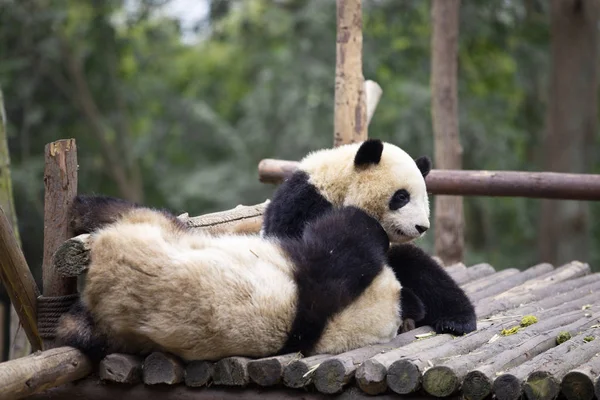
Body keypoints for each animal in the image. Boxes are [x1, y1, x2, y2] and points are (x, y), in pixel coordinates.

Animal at [264, 139, 476, 336]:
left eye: (424, 199)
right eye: (402, 196)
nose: (421, 227)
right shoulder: (302, 205)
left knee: (423, 271)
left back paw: (456, 321)